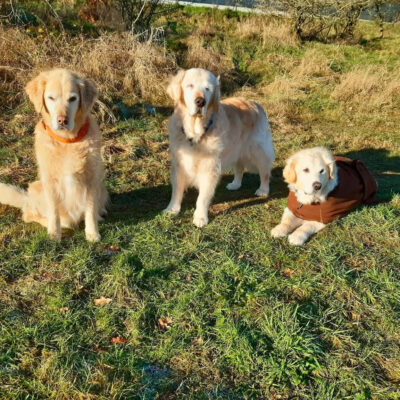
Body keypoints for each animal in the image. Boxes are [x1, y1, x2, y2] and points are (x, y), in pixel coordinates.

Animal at [0, 68, 107, 241]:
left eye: (72, 98)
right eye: (51, 98)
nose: (62, 120)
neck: (68, 141)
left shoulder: (92, 178)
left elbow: (90, 209)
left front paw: (92, 233)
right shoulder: (49, 181)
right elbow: (54, 211)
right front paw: (54, 233)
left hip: (101, 186)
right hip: (36, 189)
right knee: (29, 214)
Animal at [163, 67, 276, 227]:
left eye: (207, 89)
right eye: (190, 85)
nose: (200, 101)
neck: (196, 132)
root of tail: (256, 104)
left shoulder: (210, 167)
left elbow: (203, 197)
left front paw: (200, 217)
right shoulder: (180, 163)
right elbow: (177, 190)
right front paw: (172, 209)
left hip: (258, 150)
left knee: (265, 172)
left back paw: (263, 190)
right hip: (236, 149)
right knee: (239, 168)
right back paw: (235, 184)